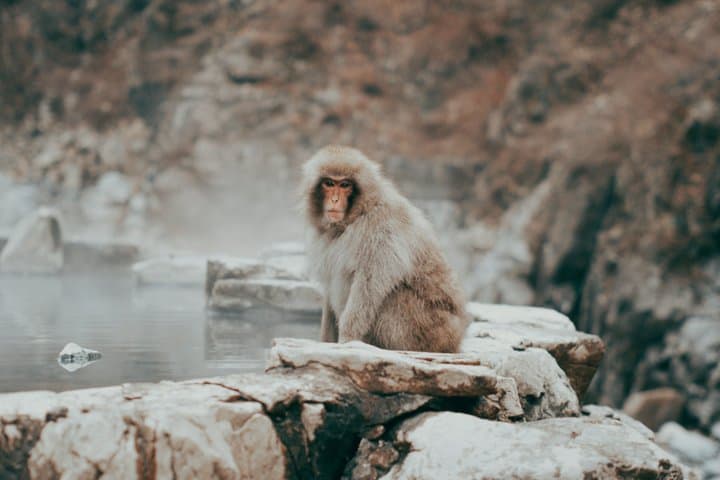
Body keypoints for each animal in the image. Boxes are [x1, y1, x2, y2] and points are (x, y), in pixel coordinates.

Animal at [301, 145, 469, 353]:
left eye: (345, 185)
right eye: (329, 183)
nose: (334, 199)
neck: (357, 214)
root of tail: (457, 339)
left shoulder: (381, 228)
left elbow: (368, 285)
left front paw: (347, 338)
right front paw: (325, 340)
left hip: (433, 330)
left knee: (393, 295)